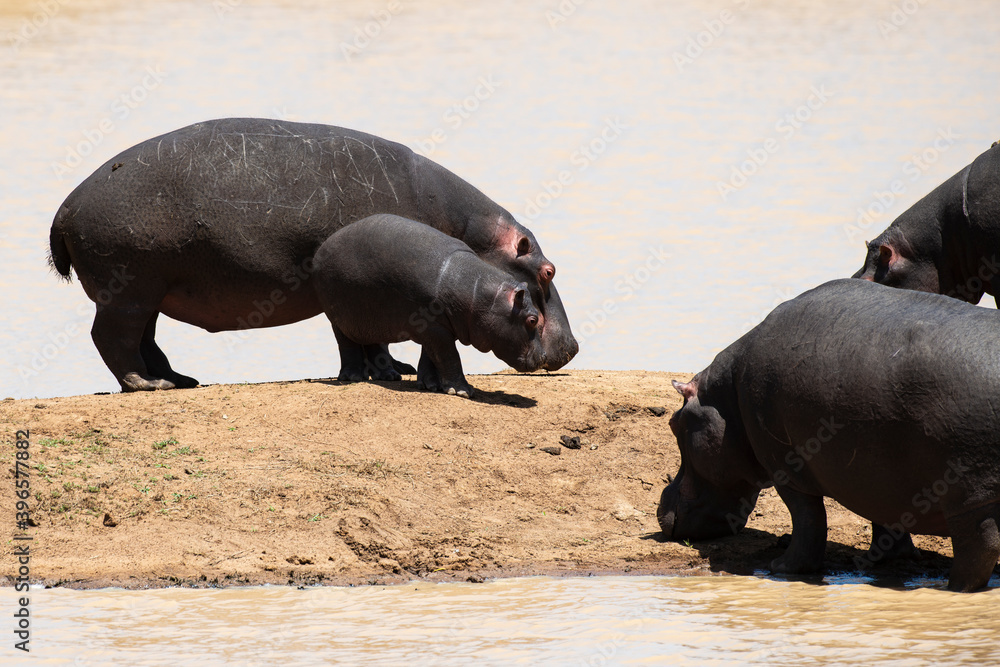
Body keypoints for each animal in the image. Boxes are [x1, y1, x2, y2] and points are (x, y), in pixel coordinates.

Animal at [313, 214, 543, 398]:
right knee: (346, 343)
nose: (542, 358)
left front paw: (430, 385)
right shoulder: (435, 328)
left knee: (374, 344)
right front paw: (462, 391)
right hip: (337, 318)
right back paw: (352, 377)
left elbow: (431, 356)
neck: (478, 293)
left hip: (371, 317)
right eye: (533, 320)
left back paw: (389, 376)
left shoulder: (438, 328)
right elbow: (449, 356)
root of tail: (323, 246)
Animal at [658, 279, 1000, 592]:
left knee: (980, 548)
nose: (660, 509)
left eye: (674, 424)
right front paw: (888, 560)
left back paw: (953, 588)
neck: (726, 397)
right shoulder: (882, 474)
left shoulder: (786, 469)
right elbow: (886, 518)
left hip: (970, 498)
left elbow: (807, 519)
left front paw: (781, 567)